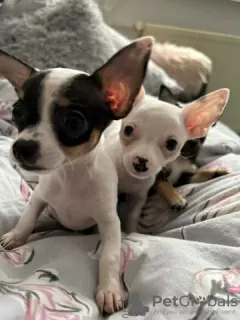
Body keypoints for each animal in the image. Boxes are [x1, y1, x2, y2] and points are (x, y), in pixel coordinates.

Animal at [0, 36, 154, 314]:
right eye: (17, 113)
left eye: (74, 122)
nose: (21, 147)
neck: (70, 176)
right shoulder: (39, 198)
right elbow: (28, 217)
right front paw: (17, 235)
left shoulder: (109, 223)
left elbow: (110, 255)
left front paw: (110, 290)